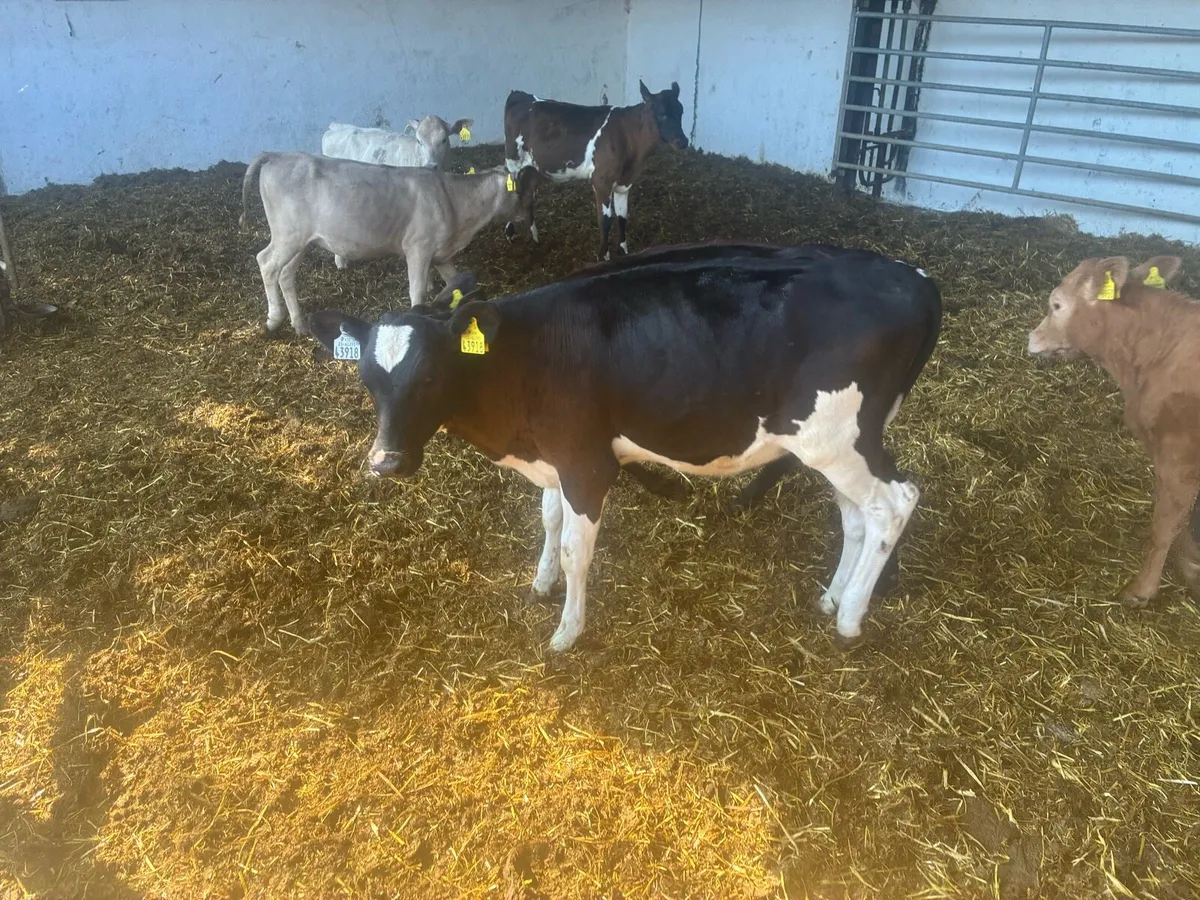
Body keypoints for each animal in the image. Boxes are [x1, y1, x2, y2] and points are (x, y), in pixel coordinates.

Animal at [238, 151, 534, 334]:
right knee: (266, 263)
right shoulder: (418, 248)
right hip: (287, 235)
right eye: (519, 190)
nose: (528, 215)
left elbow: (455, 282)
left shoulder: (441, 254)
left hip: (300, 241)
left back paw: (299, 324)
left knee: (286, 274)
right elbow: (417, 292)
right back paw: (274, 319)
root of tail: (278, 155)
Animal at [307, 243, 942, 652]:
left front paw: (566, 631)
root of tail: (913, 276)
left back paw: (851, 619)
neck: (525, 357)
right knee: (856, 515)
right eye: (366, 377)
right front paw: (541, 584)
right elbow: (549, 521)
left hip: (840, 439)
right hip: (836, 445)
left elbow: (575, 548)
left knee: (895, 502)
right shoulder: (555, 458)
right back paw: (834, 597)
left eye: (431, 376)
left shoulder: (587, 464)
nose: (386, 462)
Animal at [503, 80, 689, 261]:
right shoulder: (601, 181)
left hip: (535, 168)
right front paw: (603, 256)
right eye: (662, 114)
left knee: (527, 195)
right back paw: (509, 232)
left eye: (681, 112)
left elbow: (622, 217)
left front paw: (623, 251)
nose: (683, 141)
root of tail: (521, 95)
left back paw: (534, 238)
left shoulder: (624, 183)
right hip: (513, 160)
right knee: (512, 192)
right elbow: (605, 221)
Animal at [1027, 254, 1200, 608]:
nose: (1031, 338)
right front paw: (1192, 564)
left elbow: (1165, 525)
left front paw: (1141, 590)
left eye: (1056, 304)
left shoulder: (1178, 456)